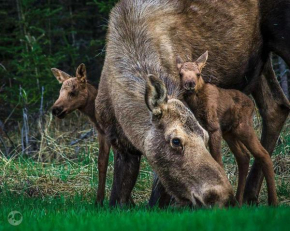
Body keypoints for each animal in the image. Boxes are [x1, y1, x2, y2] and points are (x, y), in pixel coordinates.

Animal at [177, 52, 278, 206]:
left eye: (198, 73)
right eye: (181, 74)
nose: (190, 84)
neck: (196, 103)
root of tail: (251, 104)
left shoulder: (214, 128)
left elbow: (217, 160)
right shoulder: (205, 130)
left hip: (243, 127)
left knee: (263, 154)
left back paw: (273, 201)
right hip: (230, 132)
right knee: (244, 156)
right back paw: (238, 200)